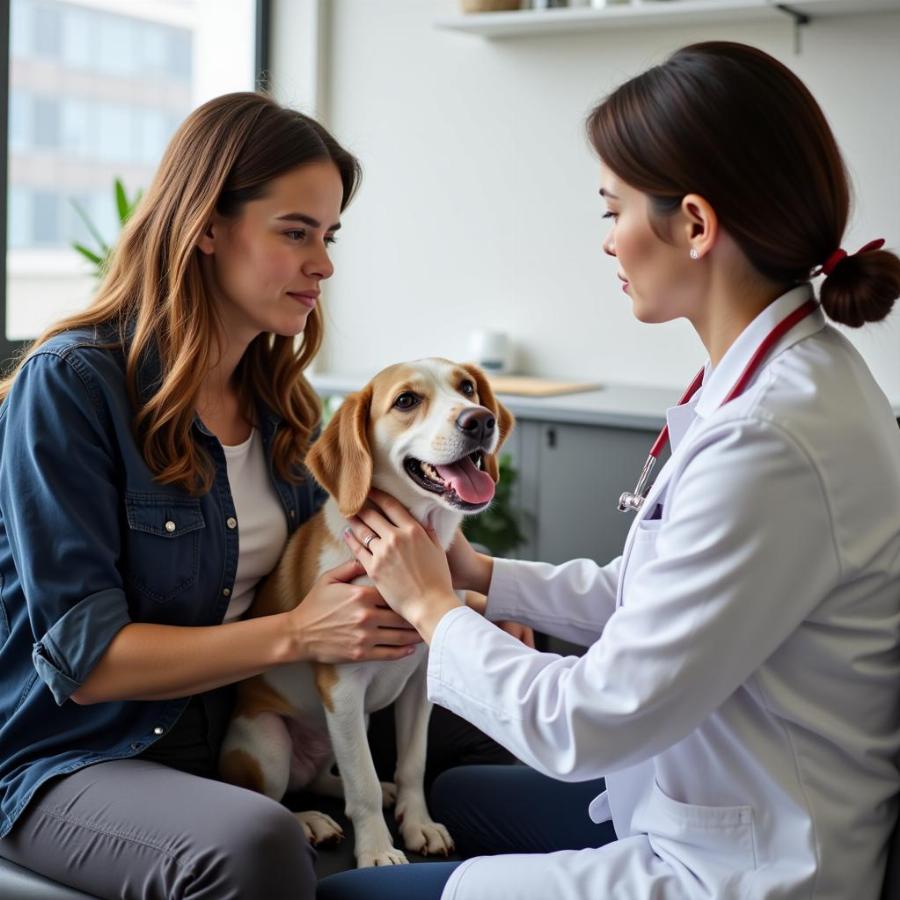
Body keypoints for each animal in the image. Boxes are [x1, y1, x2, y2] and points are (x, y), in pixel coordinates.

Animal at [219, 356, 512, 868]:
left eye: (468, 388)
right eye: (406, 401)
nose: (479, 420)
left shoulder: (418, 686)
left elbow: (411, 764)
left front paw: (417, 824)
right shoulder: (343, 689)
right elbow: (363, 785)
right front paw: (376, 849)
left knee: (324, 777)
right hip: (270, 743)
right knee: (275, 797)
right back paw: (308, 822)